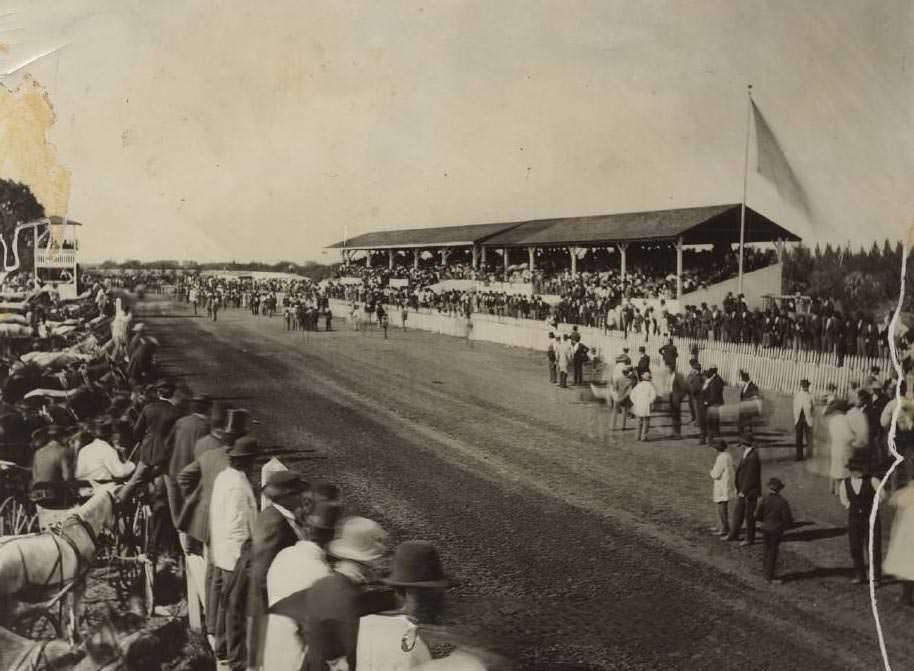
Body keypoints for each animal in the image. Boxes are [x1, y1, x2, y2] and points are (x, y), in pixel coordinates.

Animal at [0, 486, 119, 648]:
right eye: (115, 504)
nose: (113, 537)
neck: (79, 529)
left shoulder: (66, 585)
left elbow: (66, 611)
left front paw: (67, 635)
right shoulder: (79, 583)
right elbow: (74, 610)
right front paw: (76, 636)